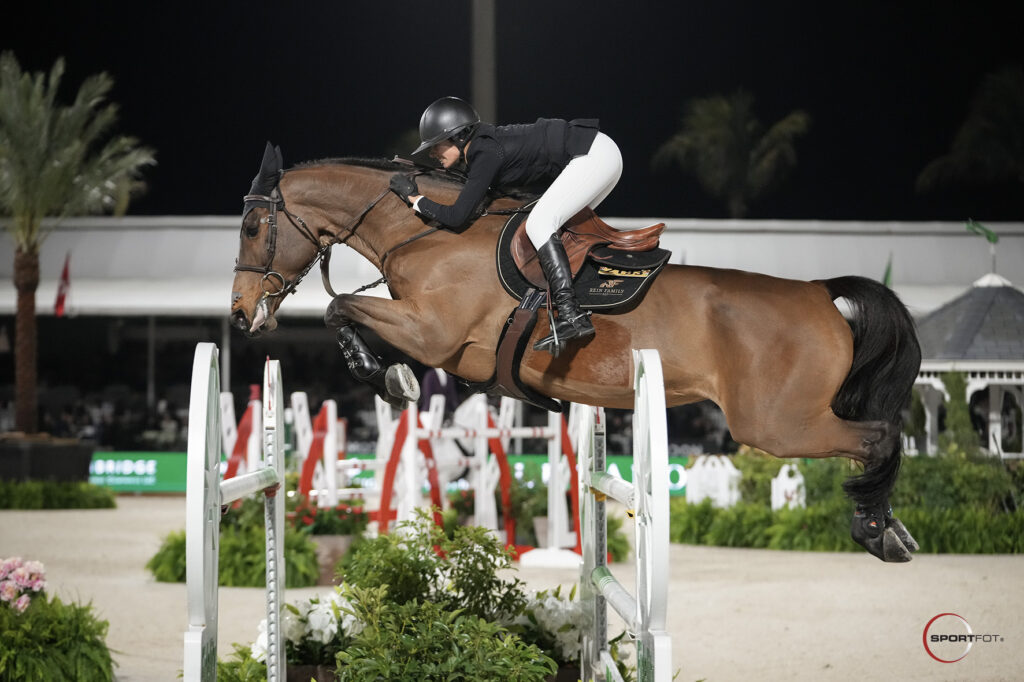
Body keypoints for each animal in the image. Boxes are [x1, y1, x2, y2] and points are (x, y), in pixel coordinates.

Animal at [230, 143, 922, 562]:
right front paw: (386, 375)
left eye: (253, 227)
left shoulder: (434, 335)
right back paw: (888, 528)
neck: (426, 233)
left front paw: (387, 377)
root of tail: (819, 292)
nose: (240, 312)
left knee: (879, 436)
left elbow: (340, 308)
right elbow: (341, 309)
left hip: (777, 425)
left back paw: (874, 529)